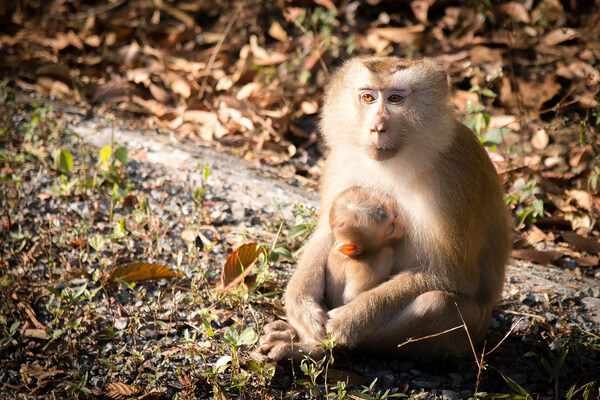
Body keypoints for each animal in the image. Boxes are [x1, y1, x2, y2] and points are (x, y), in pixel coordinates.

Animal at [255, 56, 508, 360]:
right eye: (368, 97)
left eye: (395, 99)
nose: (377, 127)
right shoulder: (340, 160)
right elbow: (326, 234)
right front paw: (302, 307)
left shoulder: (454, 179)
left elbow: (451, 275)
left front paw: (352, 318)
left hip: (469, 333)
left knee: (435, 302)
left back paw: (315, 348)